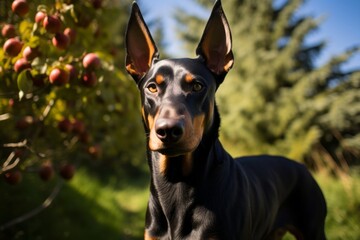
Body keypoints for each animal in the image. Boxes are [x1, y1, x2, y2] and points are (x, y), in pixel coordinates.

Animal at [124, 0, 326, 239]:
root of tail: (302, 167)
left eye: (197, 86)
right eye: (152, 87)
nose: (168, 130)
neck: (176, 184)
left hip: (313, 228)